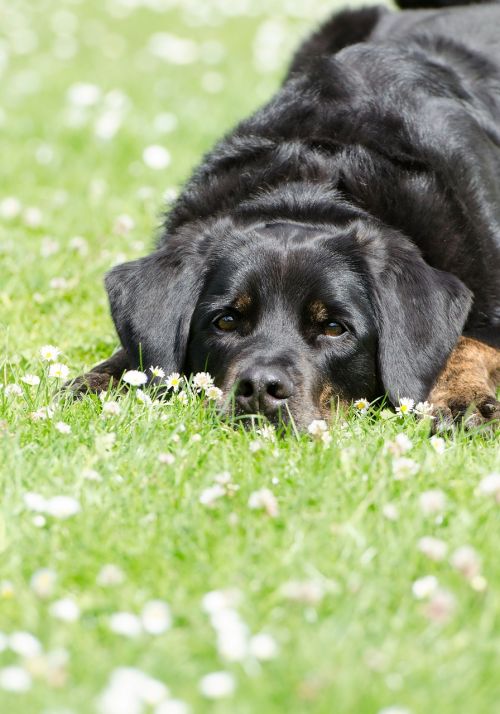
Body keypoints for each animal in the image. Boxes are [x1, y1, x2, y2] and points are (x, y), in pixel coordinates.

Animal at [74, 0, 500, 428]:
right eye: (226, 321)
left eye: (334, 328)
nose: (261, 387)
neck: (309, 186)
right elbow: (137, 352)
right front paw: (94, 383)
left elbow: (464, 343)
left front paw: (462, 399)